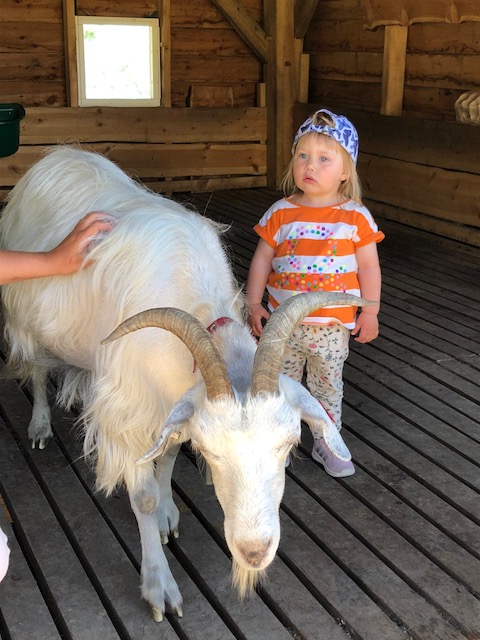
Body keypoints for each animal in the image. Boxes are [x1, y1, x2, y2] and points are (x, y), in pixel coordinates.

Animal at [0, 146, 371, 621]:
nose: (254, 552)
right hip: (23, 318)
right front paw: (159, 586)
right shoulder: (129, 407)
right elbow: (141, 495)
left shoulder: (171, 400)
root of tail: (58, 155)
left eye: (289, 445)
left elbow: (170, 454)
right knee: (35, 368)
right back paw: (41, 425)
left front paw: (167, 514)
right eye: (211, 453)